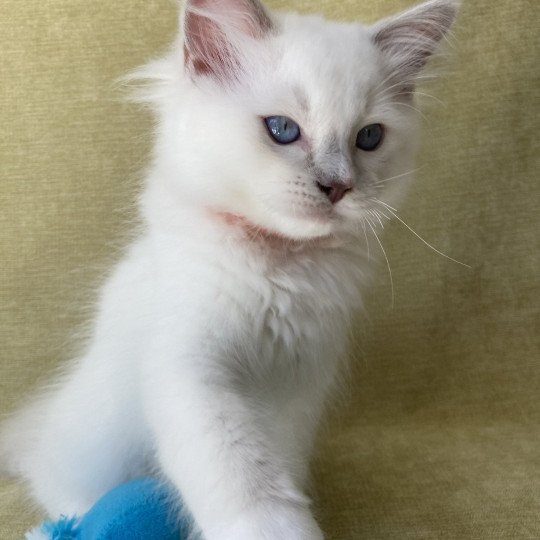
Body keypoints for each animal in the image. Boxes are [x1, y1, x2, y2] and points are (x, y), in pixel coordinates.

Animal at [0, 1, 458, 540]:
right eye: (282, 129)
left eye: (369, 138)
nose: (338, 185)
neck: (281, 263)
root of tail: (42, 420)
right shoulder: (192, 369)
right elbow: (244, 477)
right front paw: (278, 530)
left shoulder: (296, 388)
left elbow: (278, 463)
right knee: (56, 484)